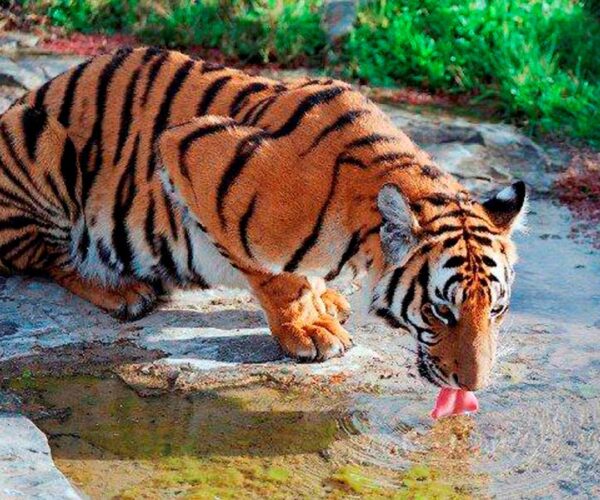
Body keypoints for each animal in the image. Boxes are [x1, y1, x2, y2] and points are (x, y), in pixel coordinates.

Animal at [0, 47, 526, 390]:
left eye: (496, 310)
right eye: (441, 311)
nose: (473, 387)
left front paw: (324, 298)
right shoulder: (189, 150)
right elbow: (277, 277)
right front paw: (308, 330)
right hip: (36, 136)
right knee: (50, 259)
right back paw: (122, 290)